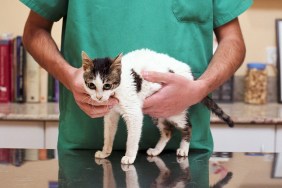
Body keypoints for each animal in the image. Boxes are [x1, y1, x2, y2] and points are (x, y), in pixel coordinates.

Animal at [81, 48, 234, 164]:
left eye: (107, 85)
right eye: (91, 85)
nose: (99, 97)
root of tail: (190, 76)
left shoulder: (134, 112)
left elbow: (132, 138)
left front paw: (129, 156)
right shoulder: (111, 114)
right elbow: (108, 134)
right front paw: (105, 152)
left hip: (175, 108)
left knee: (188, 126)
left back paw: (184, 149)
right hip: (159, 113)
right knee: (167, 132)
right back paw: (156, 150)